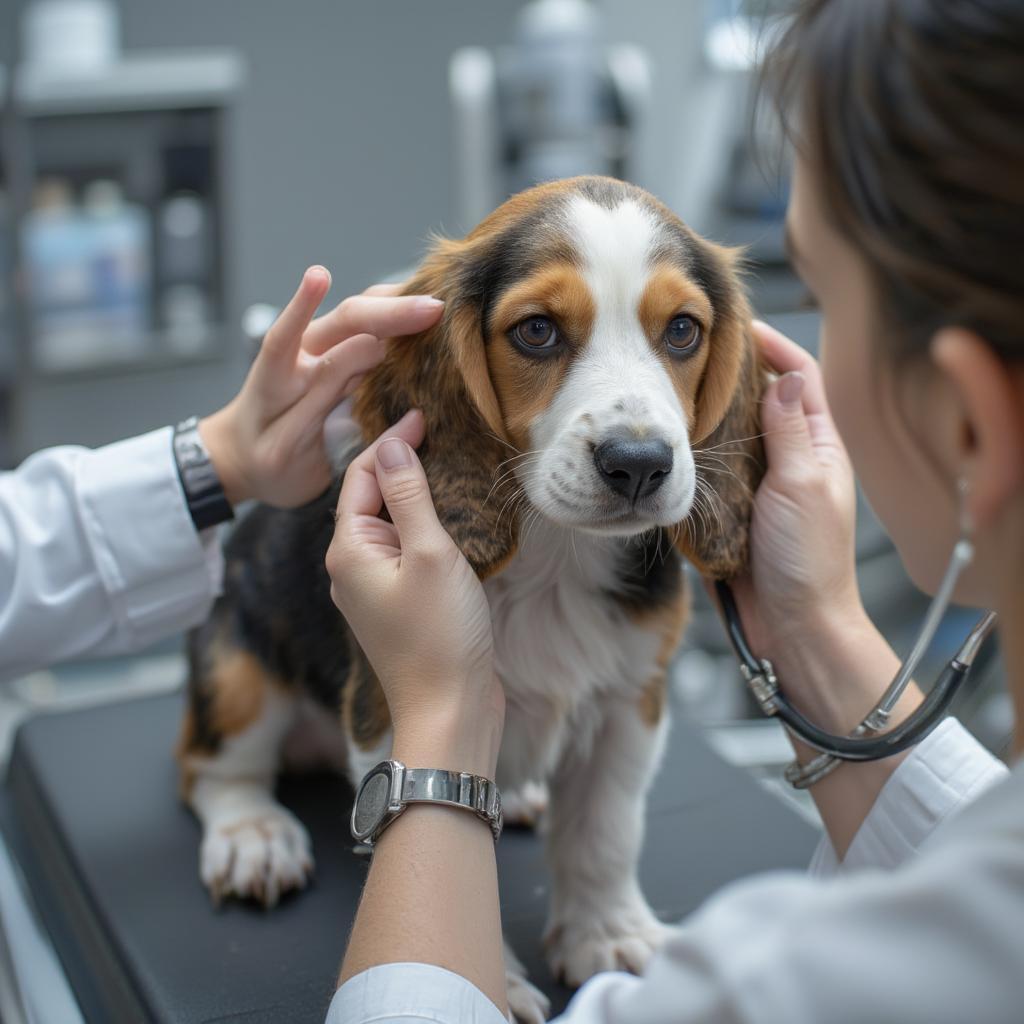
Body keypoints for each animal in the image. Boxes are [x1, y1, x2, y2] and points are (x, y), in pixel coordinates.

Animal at [180, 178, 765, 1024]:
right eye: (537, 331)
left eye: (683, 330)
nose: (639, 464)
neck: (555, 557)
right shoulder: (389, 716)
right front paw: (499, 983)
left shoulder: (632, 702)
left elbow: (605, 831)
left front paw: (608, 933)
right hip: (240, 667)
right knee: (209, 768)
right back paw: (253, 834)